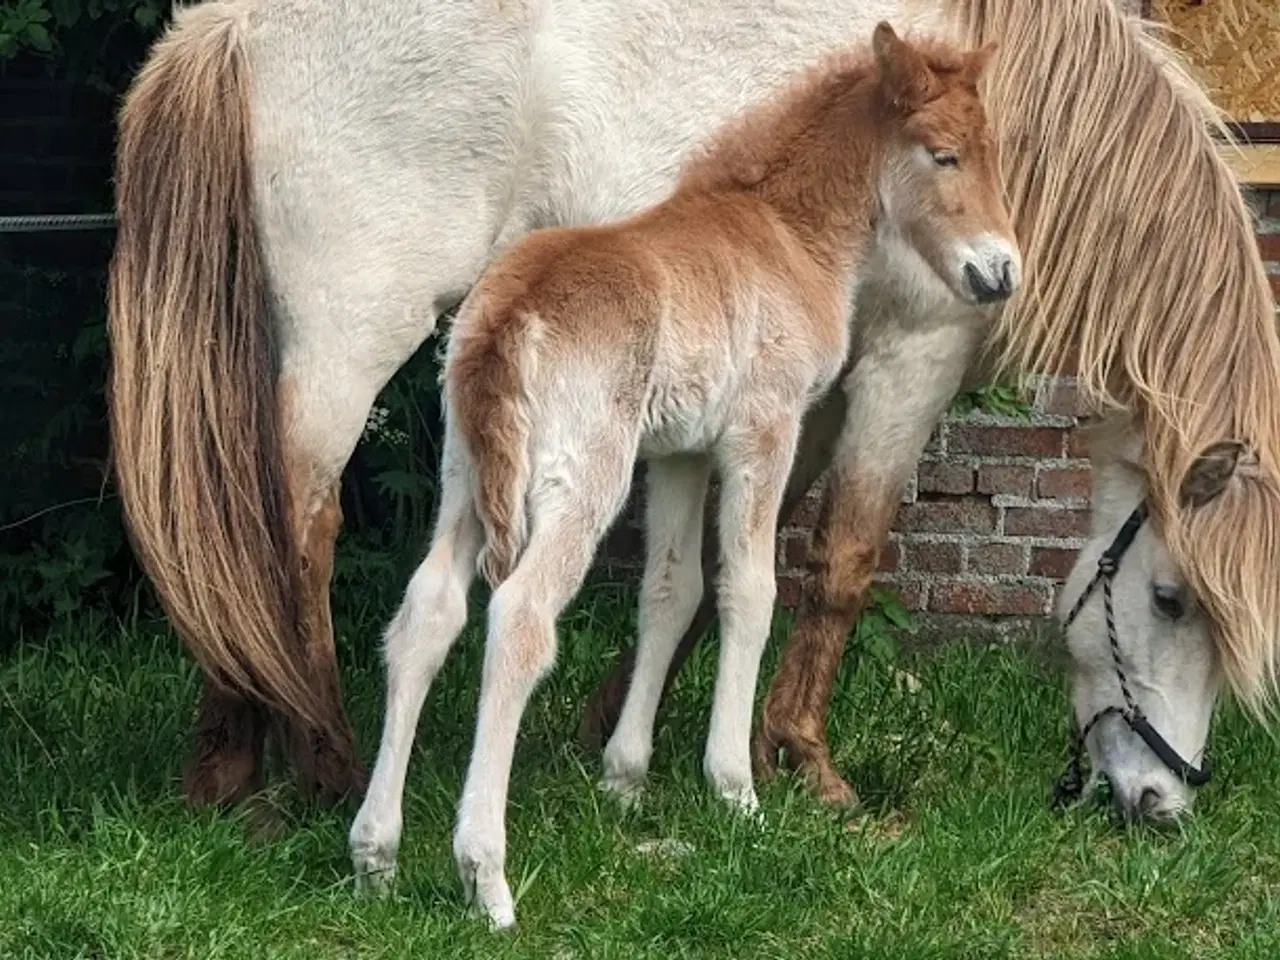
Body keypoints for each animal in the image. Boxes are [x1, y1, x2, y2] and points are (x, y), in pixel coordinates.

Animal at [110, 0, 1280, 834]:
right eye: (1170, 600)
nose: (1161, 805)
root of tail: (229, 27)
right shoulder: (911, 353)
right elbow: (838, 559)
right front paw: (799, 762)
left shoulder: (782, 397)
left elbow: (716, 572)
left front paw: (626, 735)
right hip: (354, 337)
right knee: (295, 532)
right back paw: (327, 768)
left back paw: (230, 766)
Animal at [345, 20, 1013, 926]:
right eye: (945, 155)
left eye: (994, 151)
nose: (1001, 272)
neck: (786, 231)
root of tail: (509, 315)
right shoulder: (763, 428)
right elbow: (748, 590)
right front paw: (735, 790)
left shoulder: (680, 452)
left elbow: (671, 590)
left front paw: (625, 780)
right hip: (582, 477)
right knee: (519, 618)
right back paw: (486, 876)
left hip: (464, 476)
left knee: (427, 614)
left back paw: (375, 856)